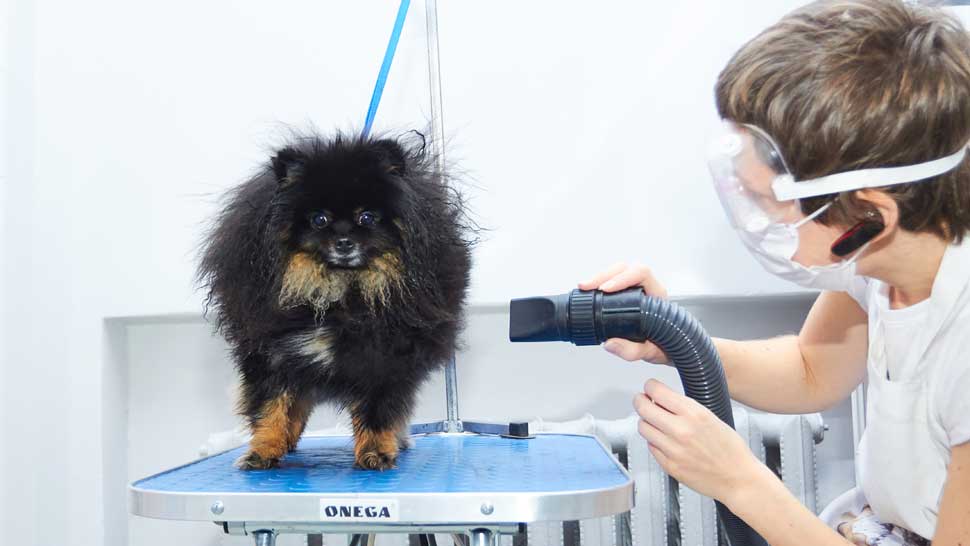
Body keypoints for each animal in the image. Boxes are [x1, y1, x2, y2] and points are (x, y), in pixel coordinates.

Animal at [199, 131, 470, 468]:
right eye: (319, 219)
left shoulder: (382, 359)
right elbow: (270, 409)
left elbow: (377, 412)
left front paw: (376, 451)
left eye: (367, 217)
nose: (343, 242)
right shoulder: (272, 356)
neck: (337, 293)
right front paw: (263, 451)